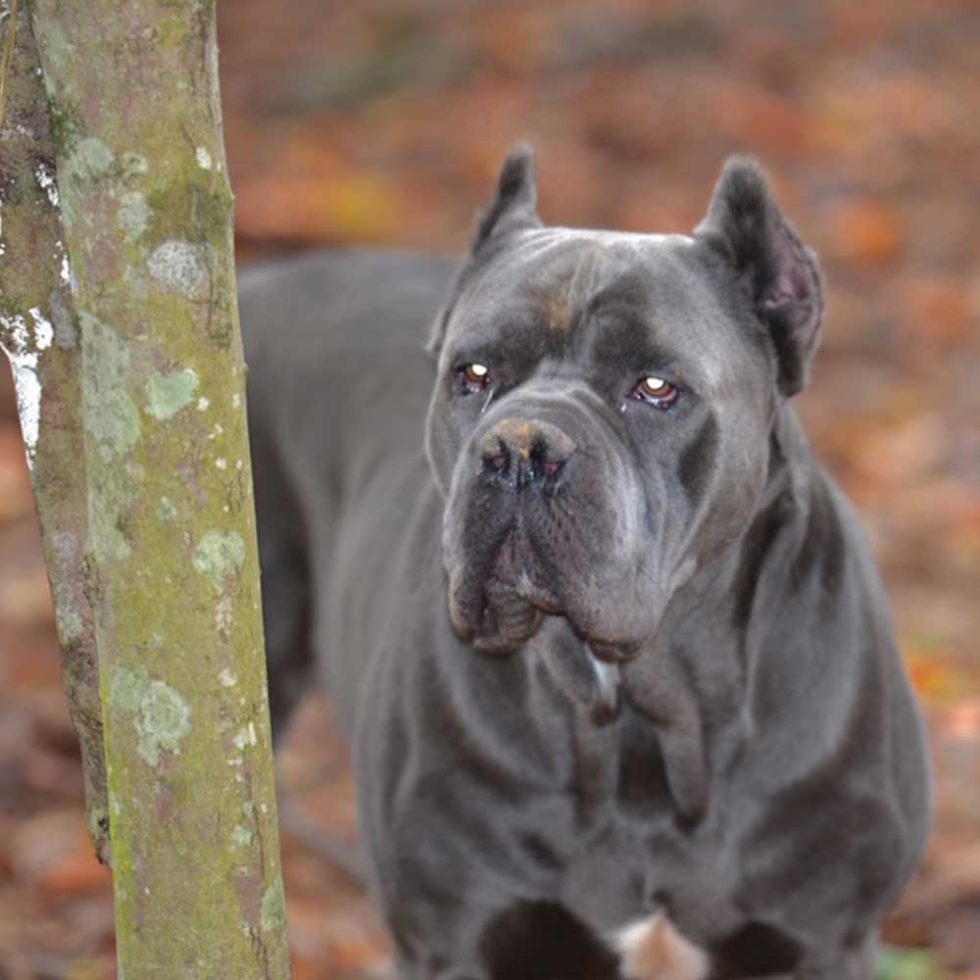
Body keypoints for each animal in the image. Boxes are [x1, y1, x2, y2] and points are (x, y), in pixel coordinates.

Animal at [241, 147, 932, 980]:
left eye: (657, 388)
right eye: (472, 375)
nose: (520, 448)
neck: (642, 719)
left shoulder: (823, 938)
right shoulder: (456, 937)